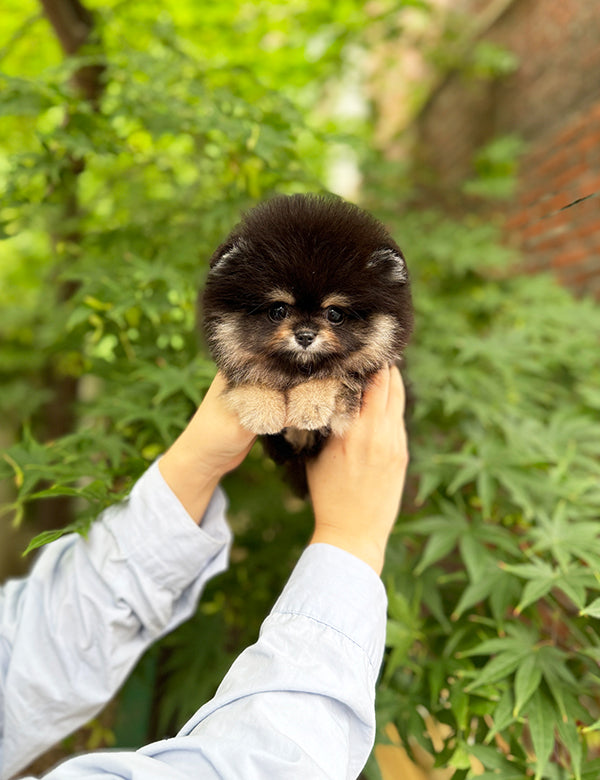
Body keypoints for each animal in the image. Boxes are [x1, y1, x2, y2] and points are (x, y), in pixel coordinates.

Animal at [202, 192, 412, 490]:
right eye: (278, 310)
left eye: (334, 313)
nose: (304, 336)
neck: (298, 370)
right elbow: (250, 376)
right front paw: (263, 409)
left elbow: (337, 374)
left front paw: (309, 407)